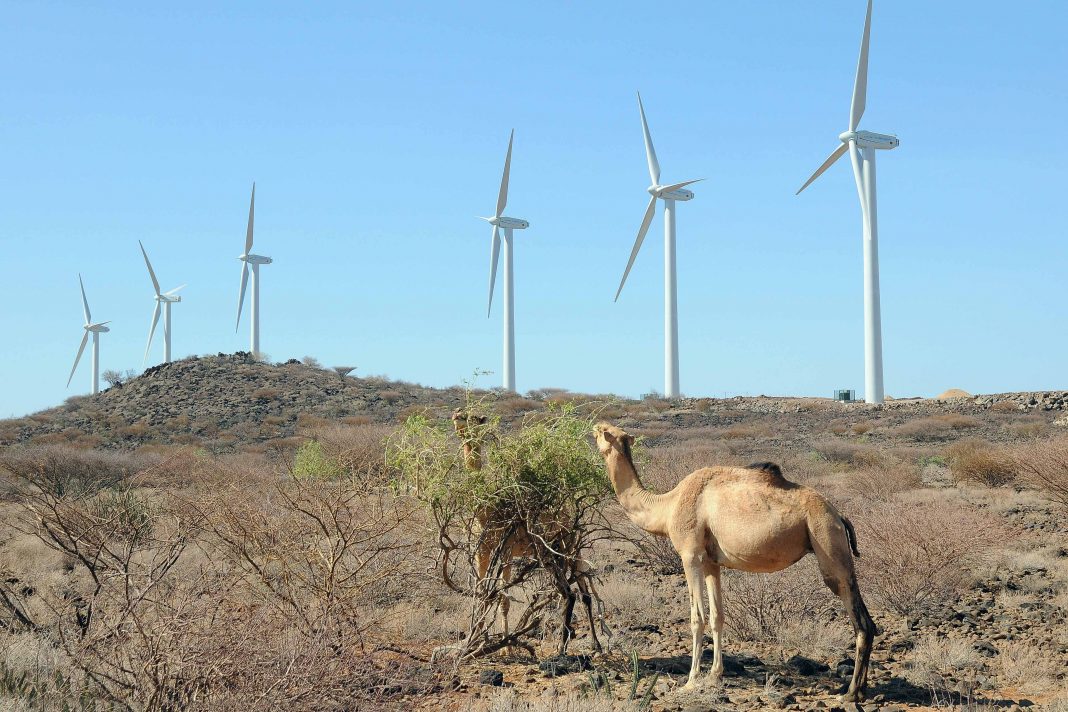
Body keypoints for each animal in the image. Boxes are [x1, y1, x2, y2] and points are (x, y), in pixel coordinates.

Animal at [448, 409, 602, 653]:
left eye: (474, 417)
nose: (457, 415)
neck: (485, 511)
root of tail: (570, 518)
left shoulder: (506, 552)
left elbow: (503, 599)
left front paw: (506, 648)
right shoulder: (481, 550)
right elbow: (482, 594)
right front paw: (477, 641)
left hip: (568, 548)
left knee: (578, 591)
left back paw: (579, 645)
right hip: (558, 552)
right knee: (579, 591)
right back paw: (589, 644)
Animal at [593, 422, 875, 700]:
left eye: (601, 431)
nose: (592, 427)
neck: (667, 506)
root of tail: (839, 515)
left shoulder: (690, 555)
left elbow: (697, 617)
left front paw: (691, 681)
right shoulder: (711, 562)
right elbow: (717, 616)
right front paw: (714, 675)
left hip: (826, 539)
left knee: (860, 621)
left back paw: (851, 693)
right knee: (868, 622)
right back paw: (858, 690)